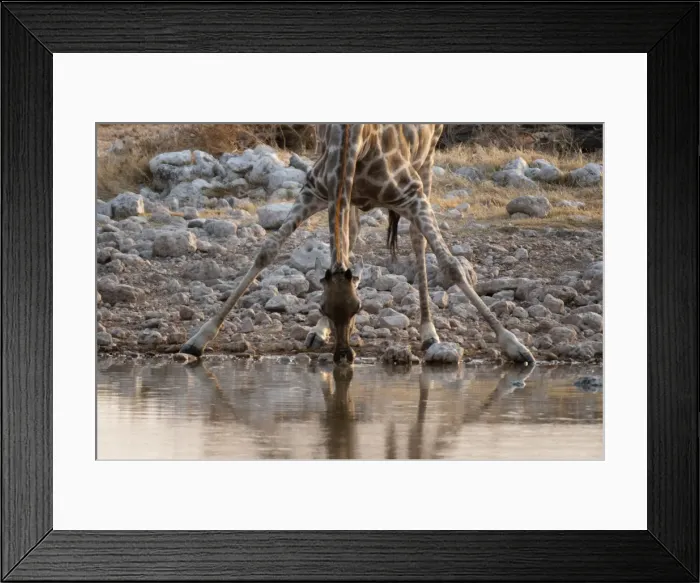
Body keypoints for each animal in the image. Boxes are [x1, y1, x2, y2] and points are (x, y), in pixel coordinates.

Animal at [180, 124, 535, 365]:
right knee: (349, 237)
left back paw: (428, 332)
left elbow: (452, 266)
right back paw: (318, 333)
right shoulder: (316, 191)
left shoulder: (412, 194)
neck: (354, 140)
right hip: (349, 196)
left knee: (417, 241)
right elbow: (266, 252)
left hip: (427, 160)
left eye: (359, 308)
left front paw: (514, 345)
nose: (343, 356)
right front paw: (198, 339)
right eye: (322, 307)